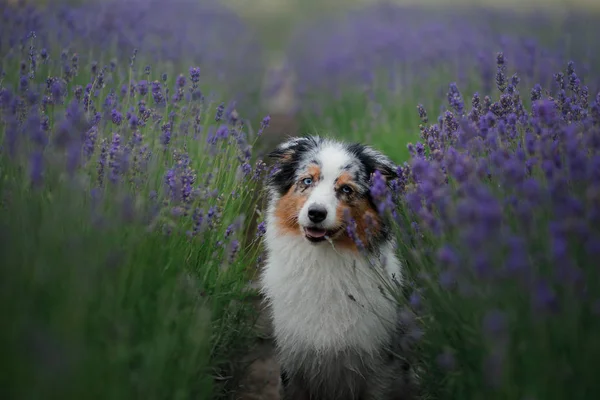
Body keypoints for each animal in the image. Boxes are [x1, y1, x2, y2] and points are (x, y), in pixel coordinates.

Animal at [260, 136, 420, 398]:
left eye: (346, 189)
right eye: (307, 180)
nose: (316, 213)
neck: (324, 262)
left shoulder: (380, 367)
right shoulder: (293, 363)